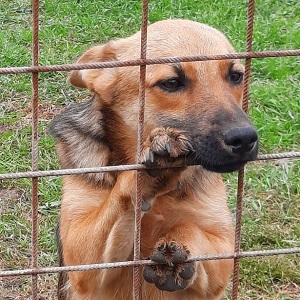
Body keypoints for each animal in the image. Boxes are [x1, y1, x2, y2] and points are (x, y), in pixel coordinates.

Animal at [49, 19, 258, 300]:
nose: (245, 139)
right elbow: (119, 196)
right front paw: (151, 170)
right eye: (171, 82)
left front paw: (175, 243)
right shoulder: (80, 254)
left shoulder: (223, 251)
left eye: (235, 76)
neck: (163, 198)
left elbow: (191, 228)